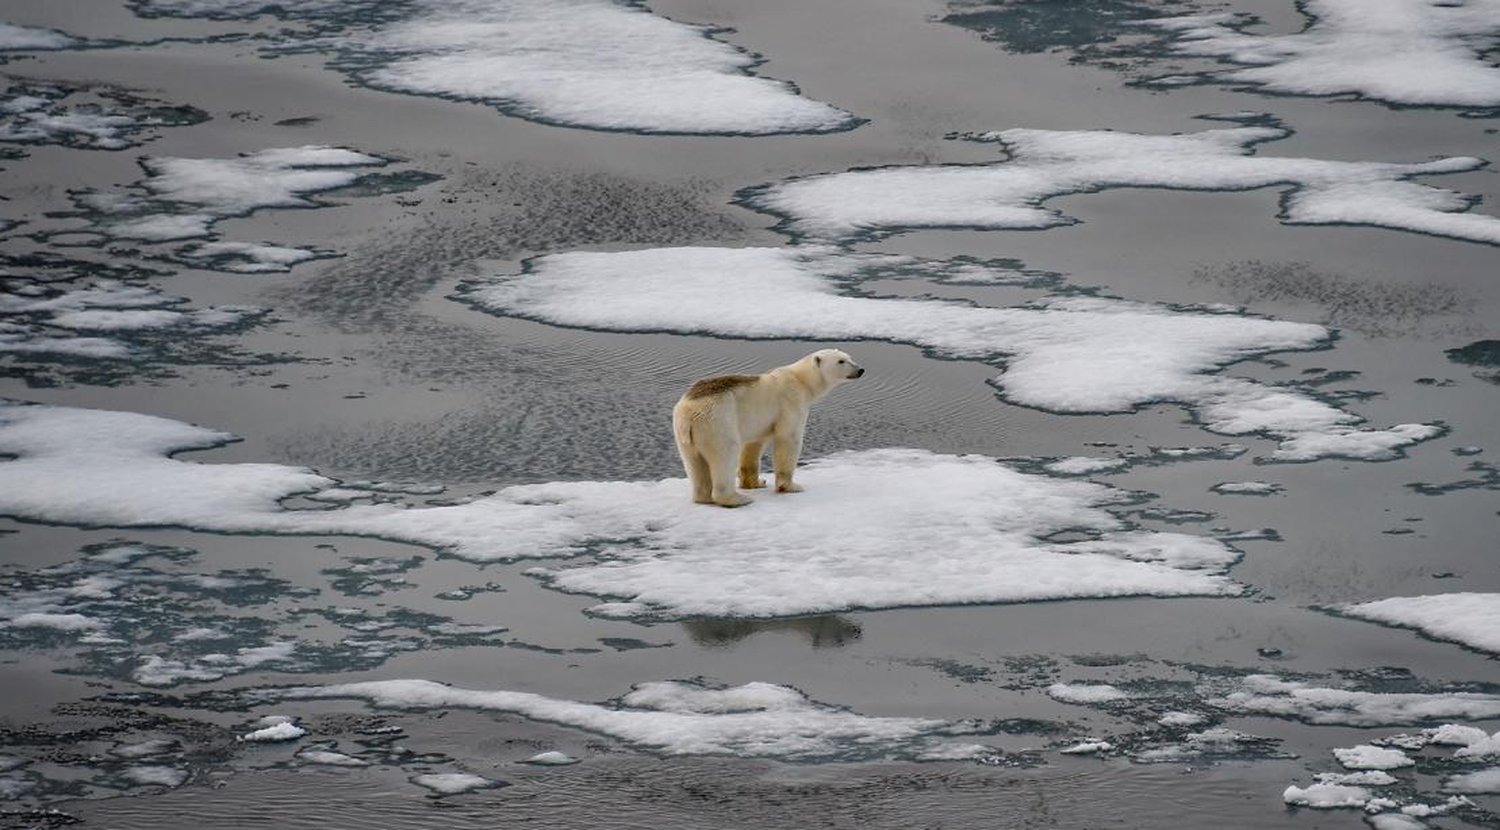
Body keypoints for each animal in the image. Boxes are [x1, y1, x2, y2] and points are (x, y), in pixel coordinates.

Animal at [672, 345, 864, 504]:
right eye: (841, 361)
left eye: (850, 357)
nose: (860, 369)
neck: (801, 380)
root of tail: (688, 412)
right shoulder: (791, 403)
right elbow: (788, 439)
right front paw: (791, 486)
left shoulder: (759, 421)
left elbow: (753, 445)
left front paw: (757, 482)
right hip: (717, 422)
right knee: (725, 454)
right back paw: (738, 499)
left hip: (686, 434)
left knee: (694, 462)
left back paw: (702, 497)